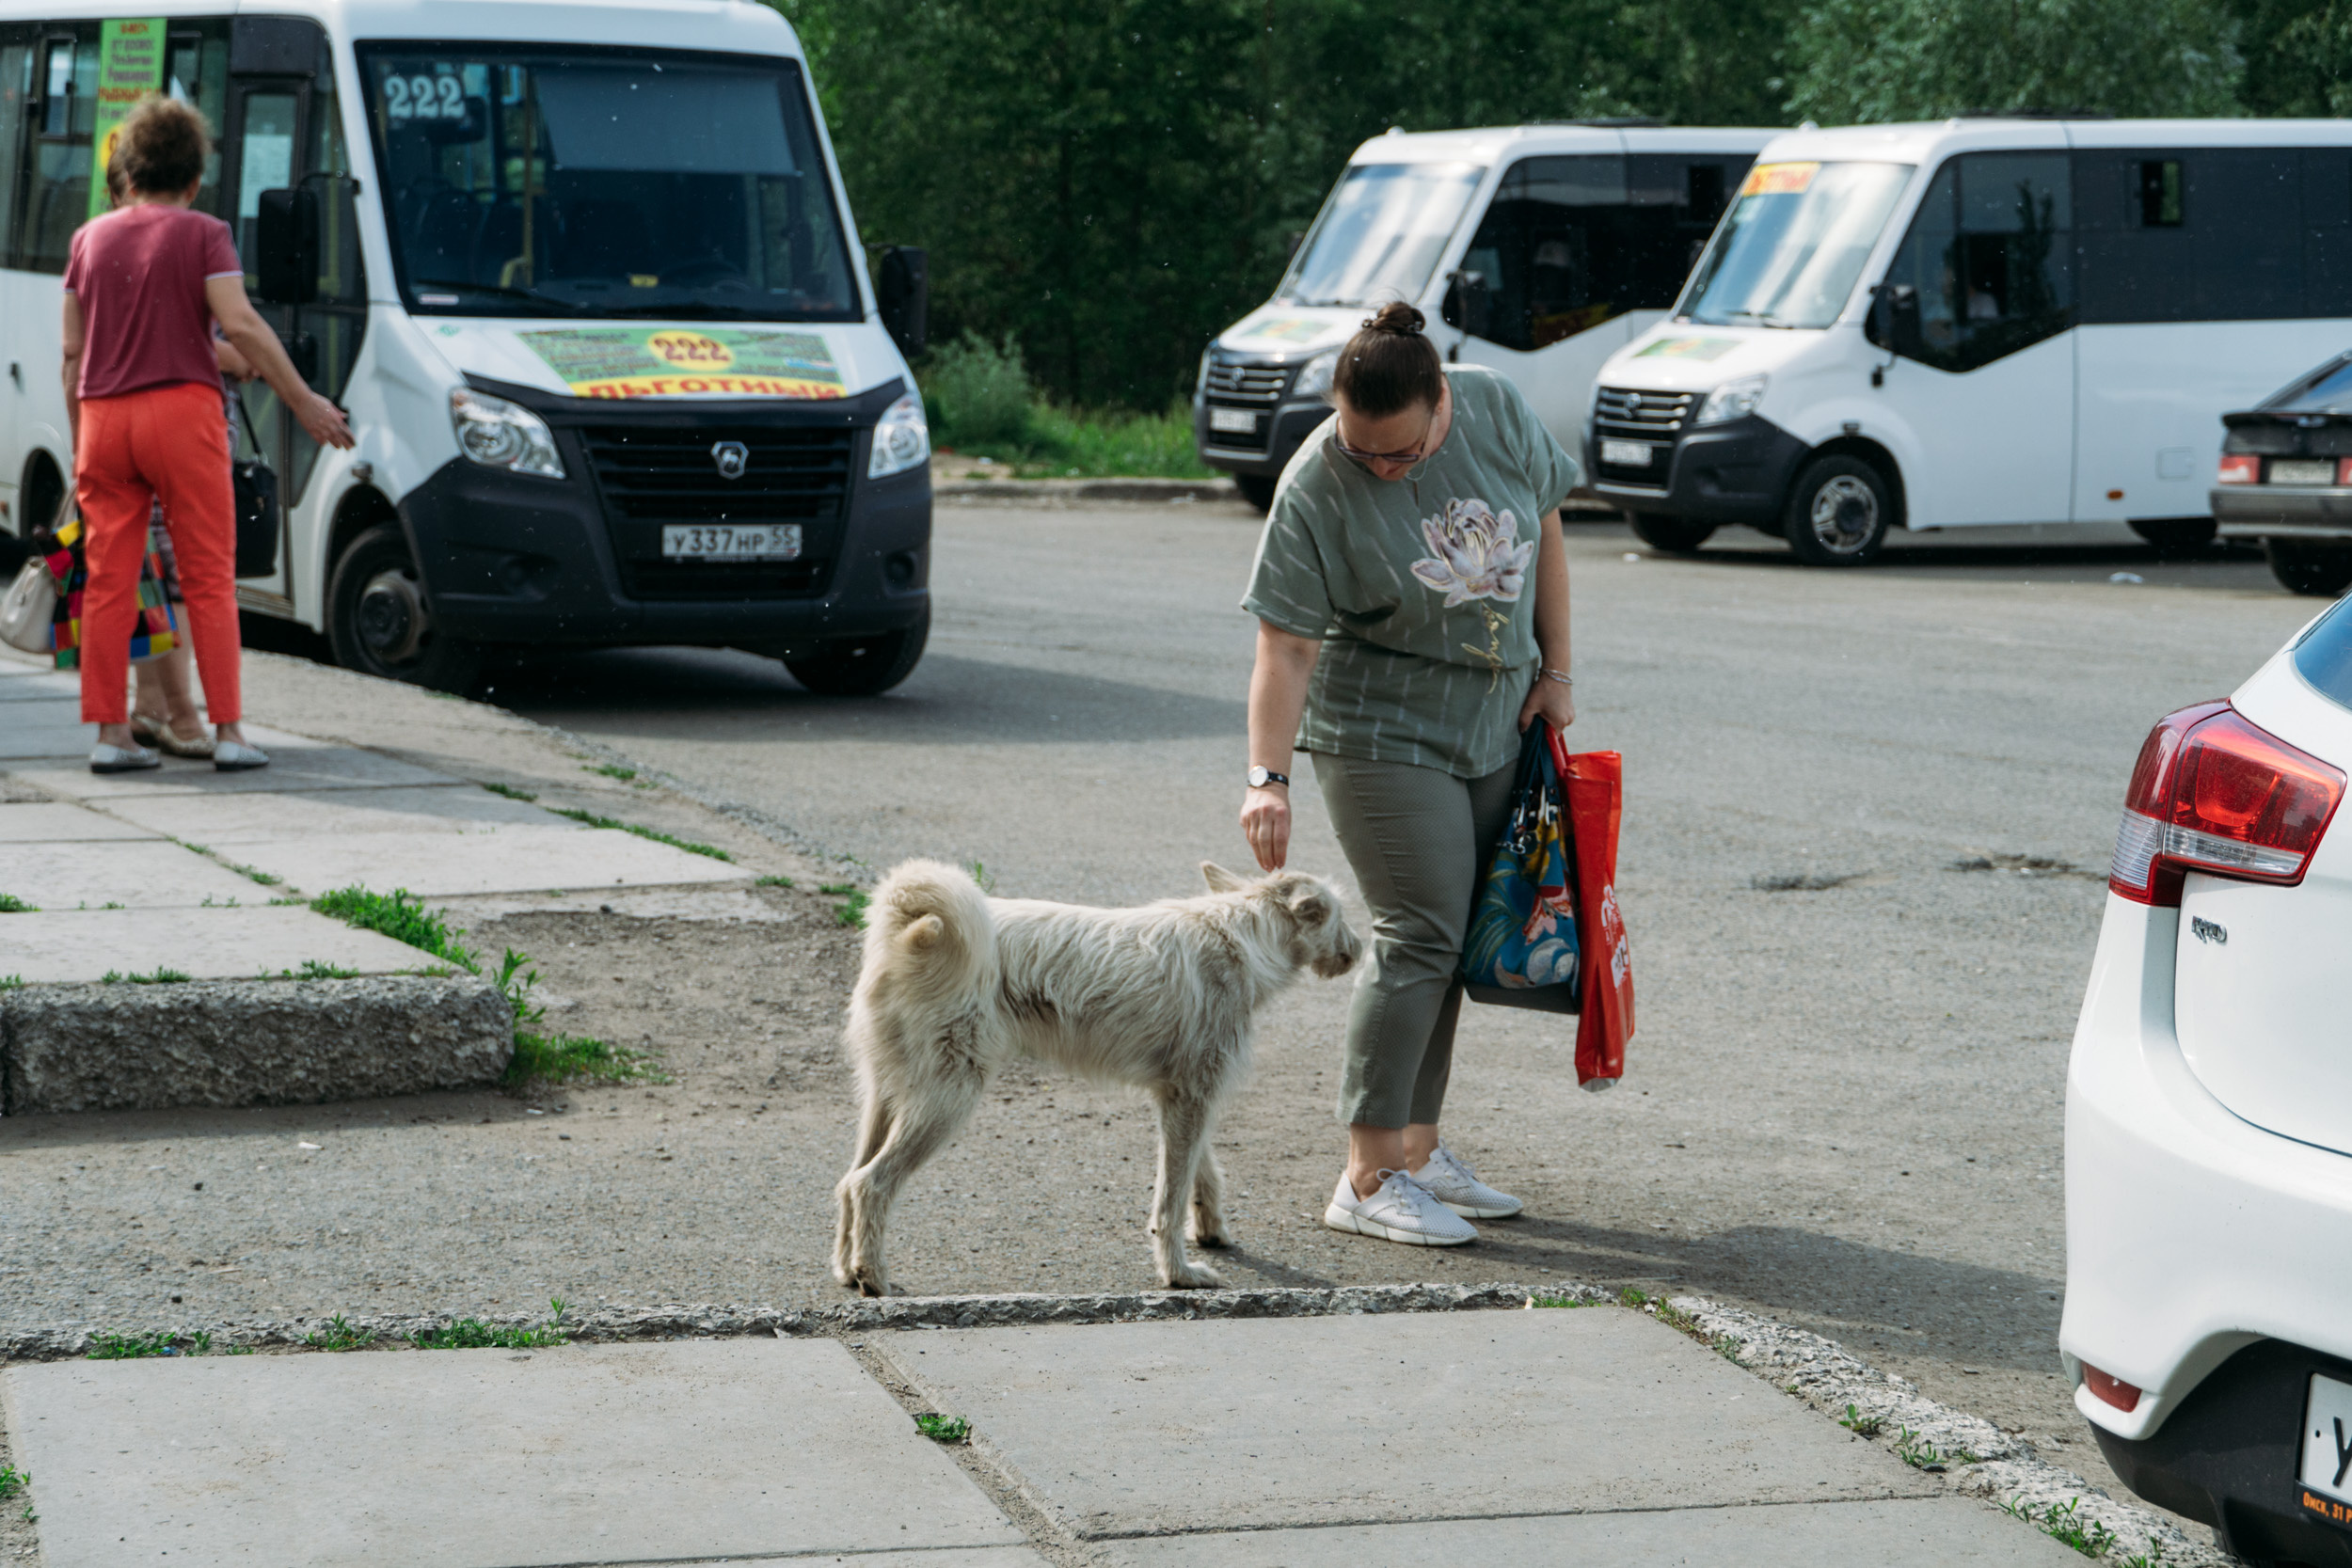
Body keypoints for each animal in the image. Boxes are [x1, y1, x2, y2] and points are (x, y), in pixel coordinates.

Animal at [842, 860, 1364, 1297]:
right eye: (1337, 915)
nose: (1360, 948)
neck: (1242, 936)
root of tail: (903, 924)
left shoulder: (1182, 1100)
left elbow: (1202, 1172)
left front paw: (1211, 1229)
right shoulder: (1192, 1098)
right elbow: (1169, 1202)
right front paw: (1179, 1273)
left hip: (886, 1101)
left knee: (848, 1182)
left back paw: (847, 1270)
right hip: (946, 1100)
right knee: (871, 1183)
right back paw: (874, 1276)